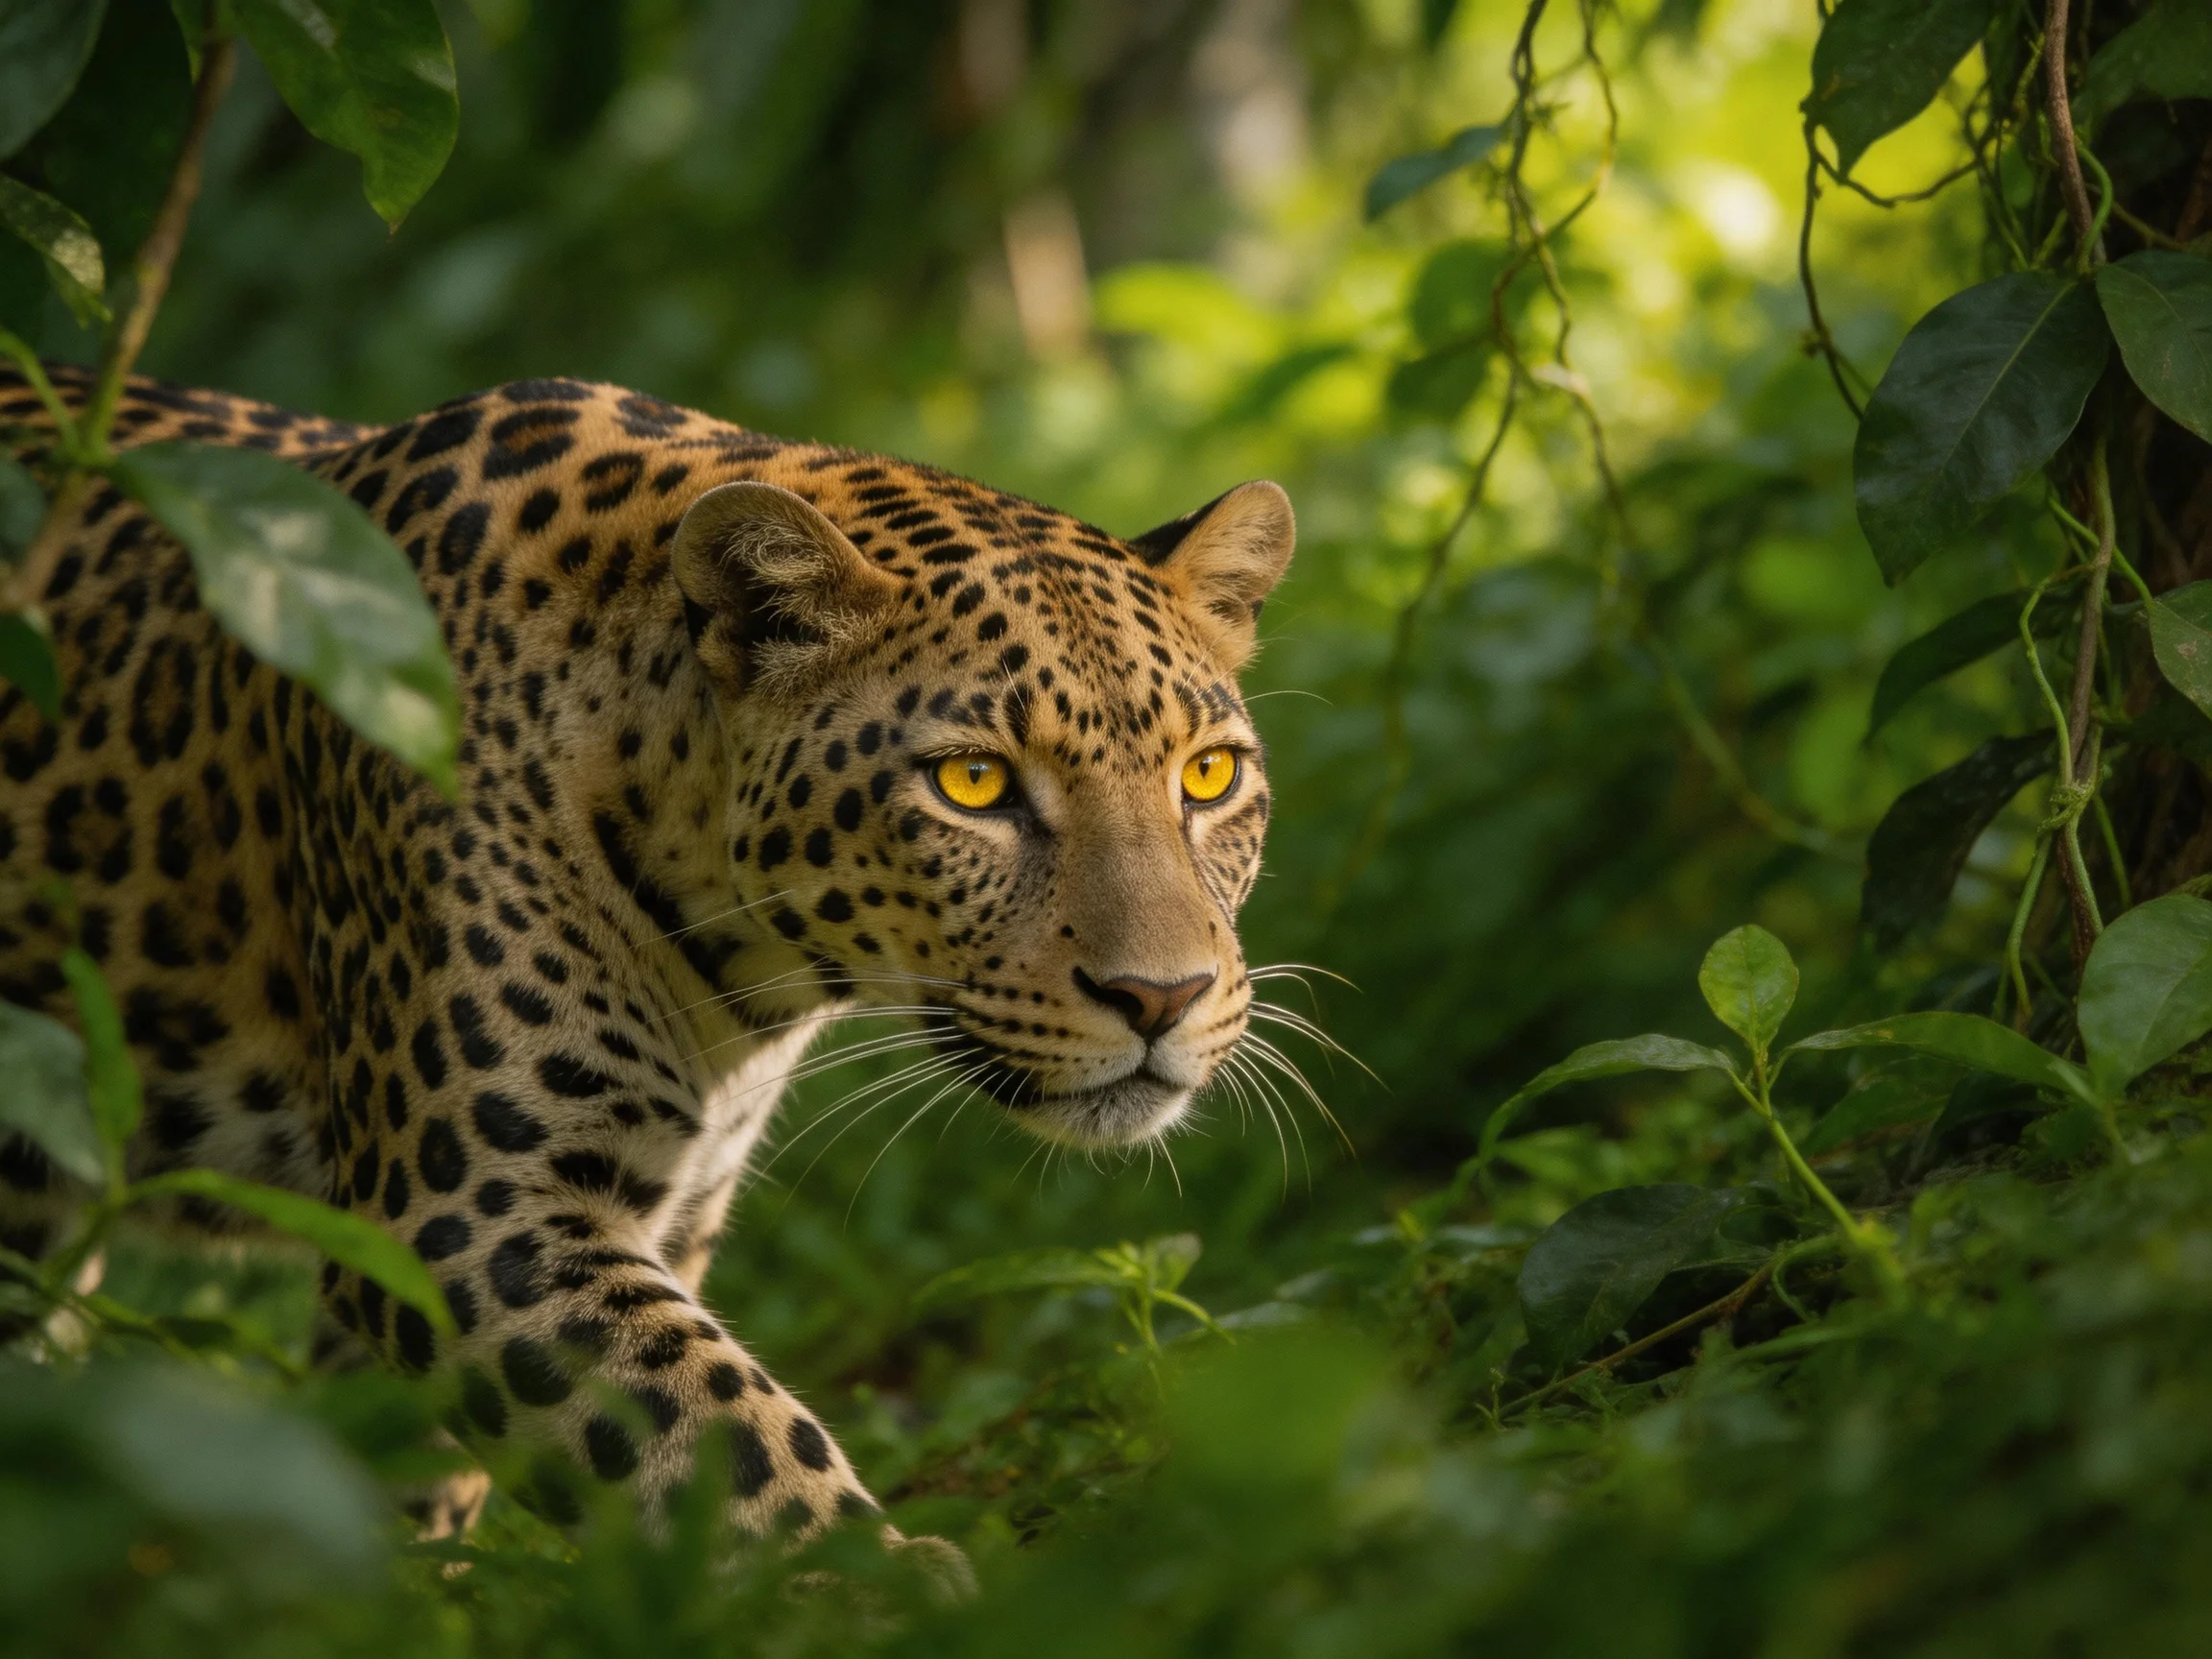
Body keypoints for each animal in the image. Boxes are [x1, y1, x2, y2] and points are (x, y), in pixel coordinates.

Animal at [0, 365, 1295, 1548]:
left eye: (1208, 775)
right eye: (971, 783)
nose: (1162, 997)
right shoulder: (469, 1215)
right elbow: (737, 1454)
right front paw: (883, 1597)